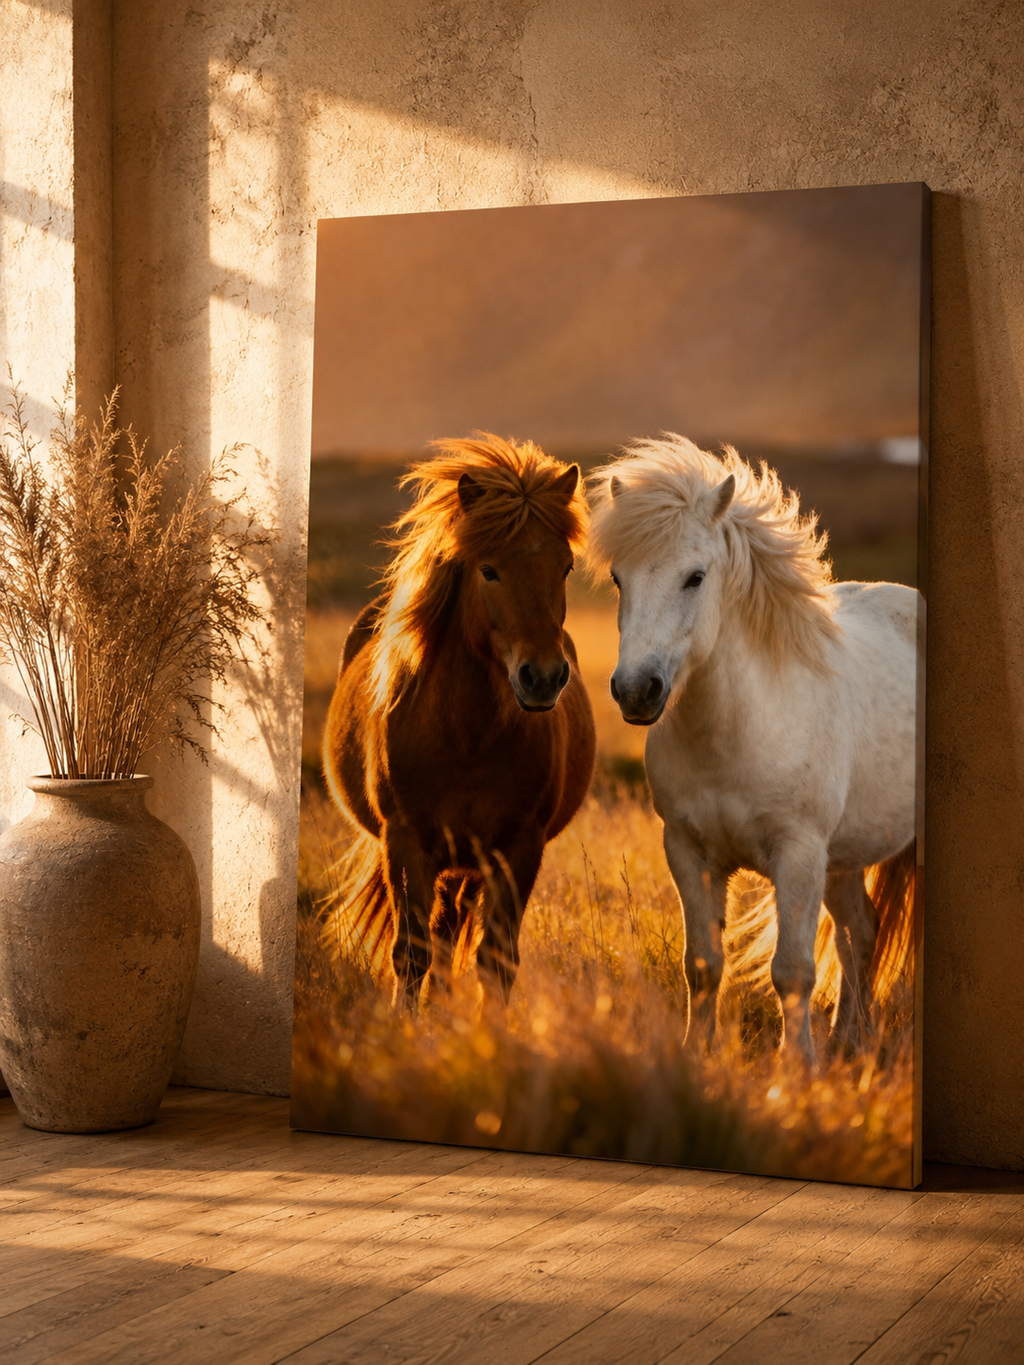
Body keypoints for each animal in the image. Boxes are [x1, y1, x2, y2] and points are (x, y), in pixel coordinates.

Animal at [322, 433, 596, 1012]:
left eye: (564, 567)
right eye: (488, 569)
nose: (542, 677)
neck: (466, 738)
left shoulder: (517, 849)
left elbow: (496, 959)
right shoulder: (407, 844)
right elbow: (411, 953)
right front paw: (407, 1026)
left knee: (452, 936)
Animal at [588, 434, 920, 1065]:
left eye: (695, 577)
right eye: (619, 579)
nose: (636, 691)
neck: (737, 734)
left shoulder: (798, 854)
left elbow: (792, 971)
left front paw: (796, 1069)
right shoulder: (688, 851)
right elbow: (703, 965)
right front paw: (696, 1054)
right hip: (841, 860)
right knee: (860, 934)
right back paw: (851, 1040)